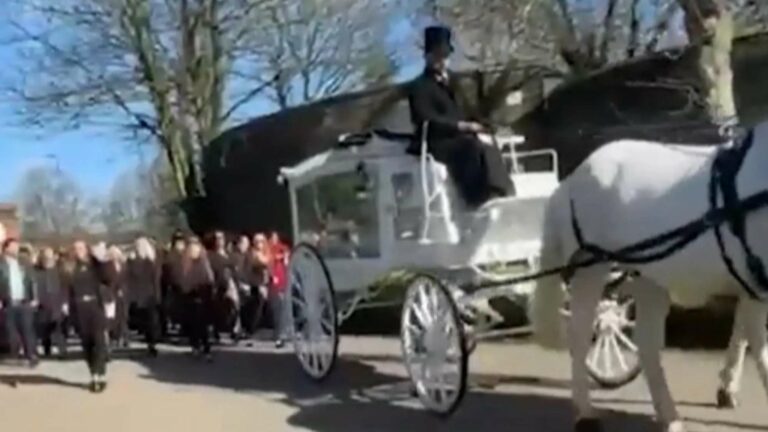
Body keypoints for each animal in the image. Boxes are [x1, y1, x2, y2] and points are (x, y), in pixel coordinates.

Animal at [532, 122, 768, 432]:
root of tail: (571, 180)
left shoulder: (751, 283)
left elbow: (744, 331)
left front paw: (727, 387)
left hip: (648, 277)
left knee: (647, 343)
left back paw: (669, 416)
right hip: (591, 269)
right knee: (581, 335)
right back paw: (586, 414)